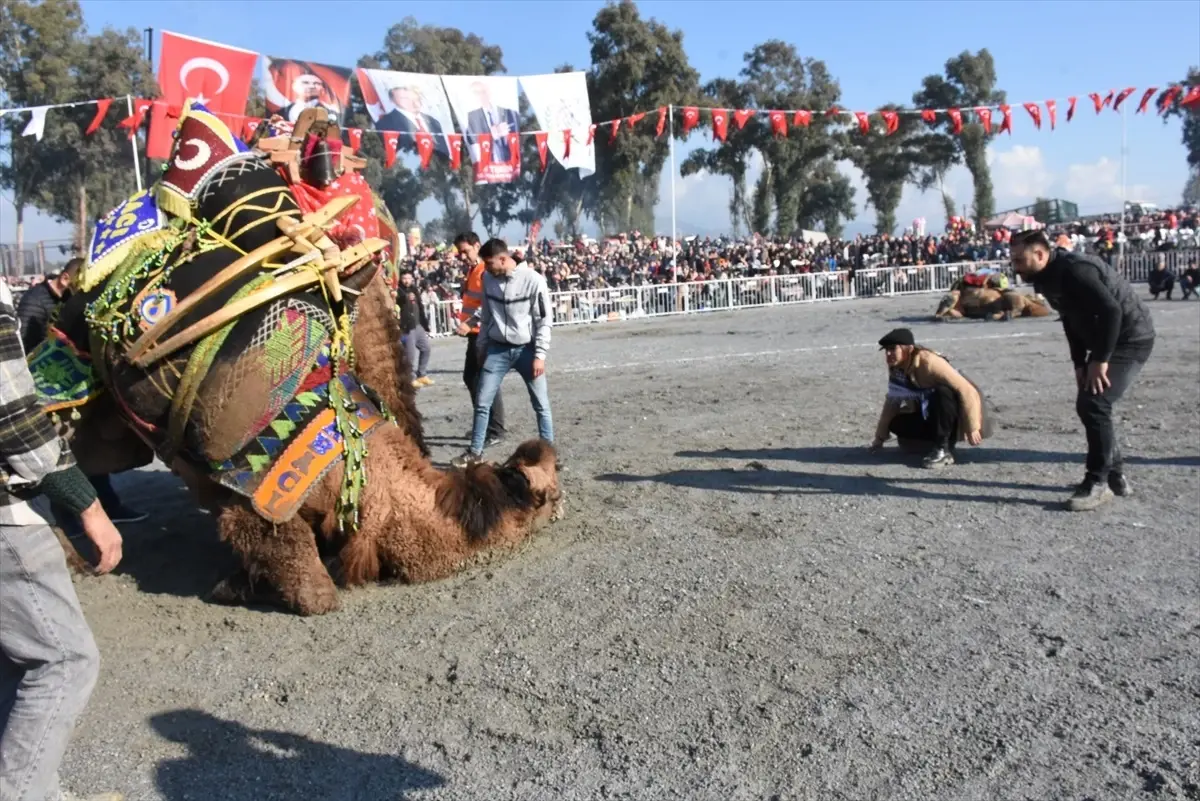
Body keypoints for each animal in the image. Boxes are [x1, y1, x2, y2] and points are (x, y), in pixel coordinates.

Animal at [35, 100, 561, 613]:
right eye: (534, 489)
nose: (557, 489)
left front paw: (237, 583)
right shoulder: (255, 499)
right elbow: (311, 591)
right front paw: (244, 587)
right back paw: (74, 554)